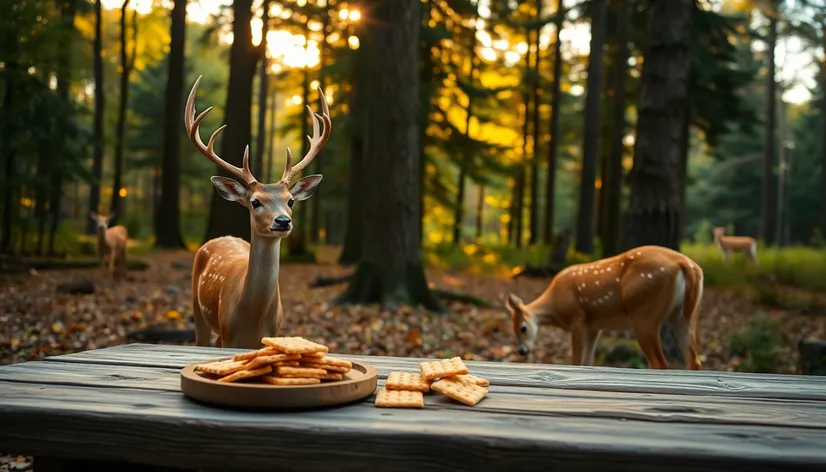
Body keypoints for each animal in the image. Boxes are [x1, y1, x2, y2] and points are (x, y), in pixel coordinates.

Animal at [185, 76, 330, 350]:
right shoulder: (228, 335)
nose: (283, 221)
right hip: (198, 309)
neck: (251, 318)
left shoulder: (271, 334)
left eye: (291, 201)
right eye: (255, 202)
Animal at [502, 245, 700, 370]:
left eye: (523, 328)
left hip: (645, 315)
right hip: (684, 316)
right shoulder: (594, 327)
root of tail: (685, 264)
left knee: (660, 362)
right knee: (694, 360)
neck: (555, 304)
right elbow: (588, 361)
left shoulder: (578, 319)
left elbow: (576, 361)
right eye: (512, 330)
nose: (522, 351)